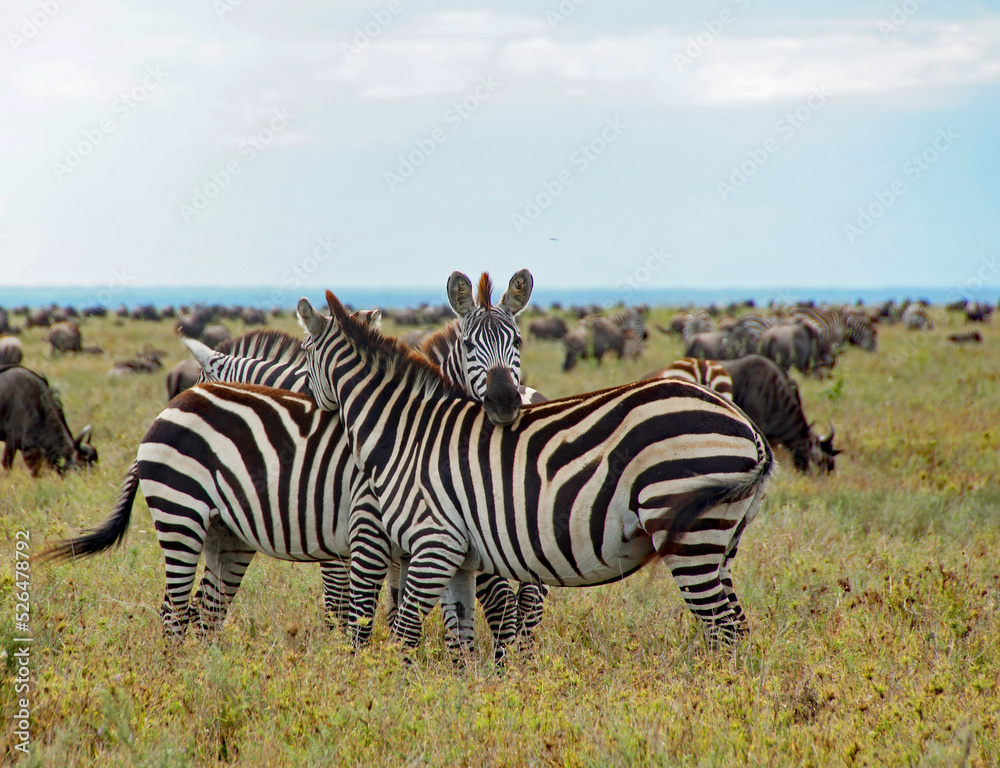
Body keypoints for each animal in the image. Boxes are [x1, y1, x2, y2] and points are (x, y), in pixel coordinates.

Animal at [298, 290, 774, 650]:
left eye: (303, 354)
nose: (303, 403)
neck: (407, 431)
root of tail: (747, 426)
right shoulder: (459, 556)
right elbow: (460, 638)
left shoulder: (434, 543)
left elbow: (404, 632)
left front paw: (394, 692)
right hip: (721, 539)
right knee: (738, 628)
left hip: (690, 537)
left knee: (725, 632)